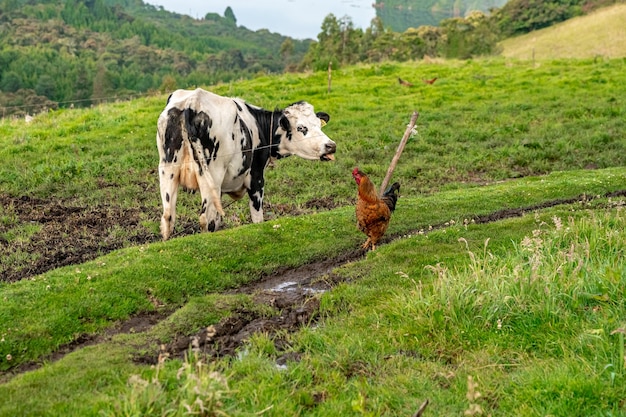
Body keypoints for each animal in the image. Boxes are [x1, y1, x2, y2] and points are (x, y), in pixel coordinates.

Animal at [155, 88, 336, 240]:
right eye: (301, 128)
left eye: (319, 125)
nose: (331, 145)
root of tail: (191, 103)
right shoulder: (256, 176)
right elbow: (257, 217)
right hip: (211, 175)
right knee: (206, 218)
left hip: (168, 169)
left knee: (168, 218)